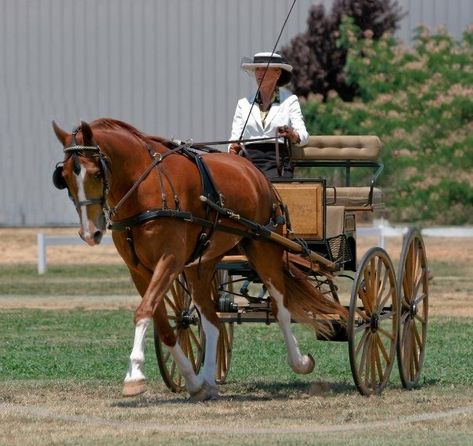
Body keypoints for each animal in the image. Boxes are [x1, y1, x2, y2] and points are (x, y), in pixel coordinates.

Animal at [52, 118, 346, 400]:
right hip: (201, 266)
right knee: (213, 320)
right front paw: (193, 384)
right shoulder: (138, 270)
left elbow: (144, 311)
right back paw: (209, 383)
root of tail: (257, 174)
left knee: (281, 308)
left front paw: (134, 375)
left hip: (264, 248)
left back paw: (300, 362)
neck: (146, 186)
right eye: (64, 177)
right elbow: (164, 325)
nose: (90, 232)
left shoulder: (169, 260)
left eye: (96, 173)